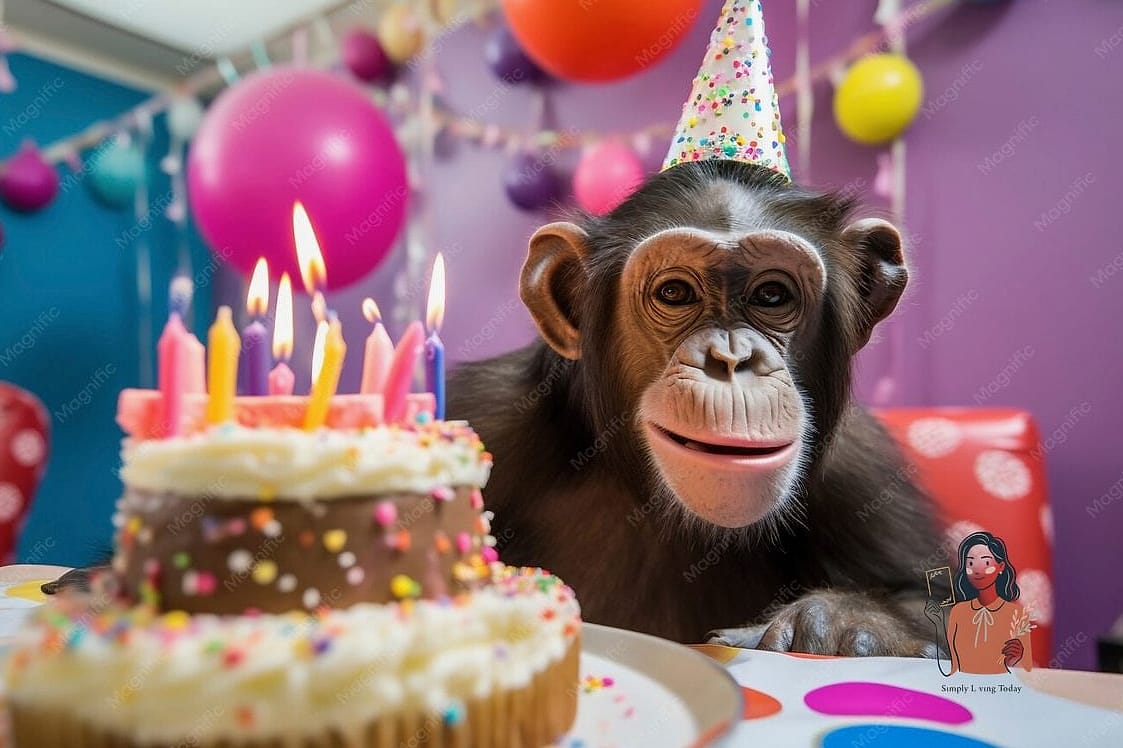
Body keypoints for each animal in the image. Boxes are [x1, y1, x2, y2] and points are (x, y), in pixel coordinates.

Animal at [448, 159, 946, 657]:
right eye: (674, 293)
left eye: (771, 296)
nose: (730, 358)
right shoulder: (484, 416)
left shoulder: (863, 466)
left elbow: (931, 593)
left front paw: (843, 621)